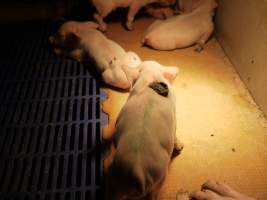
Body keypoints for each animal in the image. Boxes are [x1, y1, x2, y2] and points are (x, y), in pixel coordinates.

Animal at [107, 61, 184, 200]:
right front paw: (180, 146)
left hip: (116, 179)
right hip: (159, 179)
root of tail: (136, 171)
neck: (151, 77)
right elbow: (175, 133)